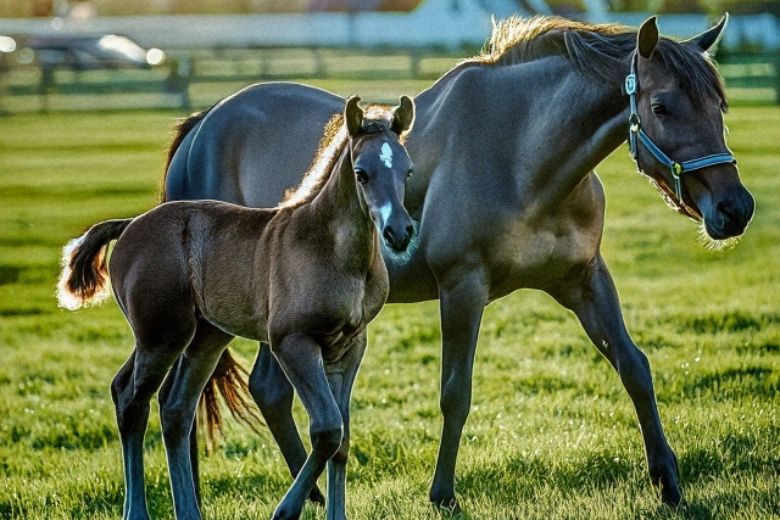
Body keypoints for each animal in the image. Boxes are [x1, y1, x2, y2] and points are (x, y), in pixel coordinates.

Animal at [57, 96, 416, 520]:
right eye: (362, 174)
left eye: (407, 171)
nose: (400, 232)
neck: (332, 250)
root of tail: (130, 224)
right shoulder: (292, 342)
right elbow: (327, 430)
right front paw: (285, 511)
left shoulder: (349, 347)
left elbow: (342, 440)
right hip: (161, 335)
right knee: (132, 399)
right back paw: (137, 513)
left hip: (203, 337)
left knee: (174, 407)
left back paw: (189, 512)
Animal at [162, 15, 755, 508]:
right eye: (661, 107)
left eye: (719, 106)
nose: (736, 208)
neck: (519, 153)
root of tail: (202, 125)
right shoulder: (462, 289)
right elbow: (455, 394)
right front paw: (443, 494)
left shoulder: (584, 279)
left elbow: (634, 367)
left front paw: (668, 481)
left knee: (262, 390)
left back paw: (305, 496)